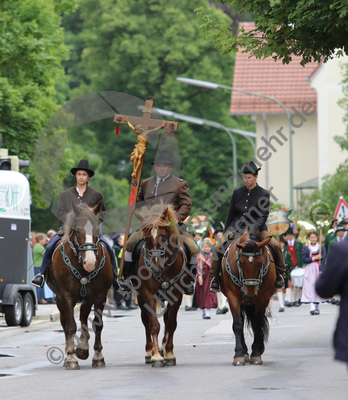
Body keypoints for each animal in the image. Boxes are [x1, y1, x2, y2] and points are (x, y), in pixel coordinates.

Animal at [46, 202, 113, 370]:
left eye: (96, 228)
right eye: (77, 229)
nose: (90, 263)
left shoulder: (100, 296)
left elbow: (97, 325)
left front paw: (98, 357)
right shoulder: (66, 296)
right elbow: (70, 325)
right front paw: (71, 358)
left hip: (87, 299)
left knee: (83, 317)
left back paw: (83, 347)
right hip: (59, 300)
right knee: (65, 323)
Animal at [133, 205, 189, 368]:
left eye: (164, 236)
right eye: (146, 238)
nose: (156, 267)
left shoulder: (176, 295)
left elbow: (170, 323)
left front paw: (169, 354)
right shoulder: (148, 294)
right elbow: (153, 324)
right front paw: (156, 356)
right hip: (140, 298)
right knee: (146, 321)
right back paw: (149, 351)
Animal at [220, 225, 278, 366]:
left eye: (260, 262)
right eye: (241, 262)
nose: (250, 295)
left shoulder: (262, 298)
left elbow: (257, 324)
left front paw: (256, 353)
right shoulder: (232, 296)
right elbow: (237, 324)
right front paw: (239, 354)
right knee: (241, 321)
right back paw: (245, 351)